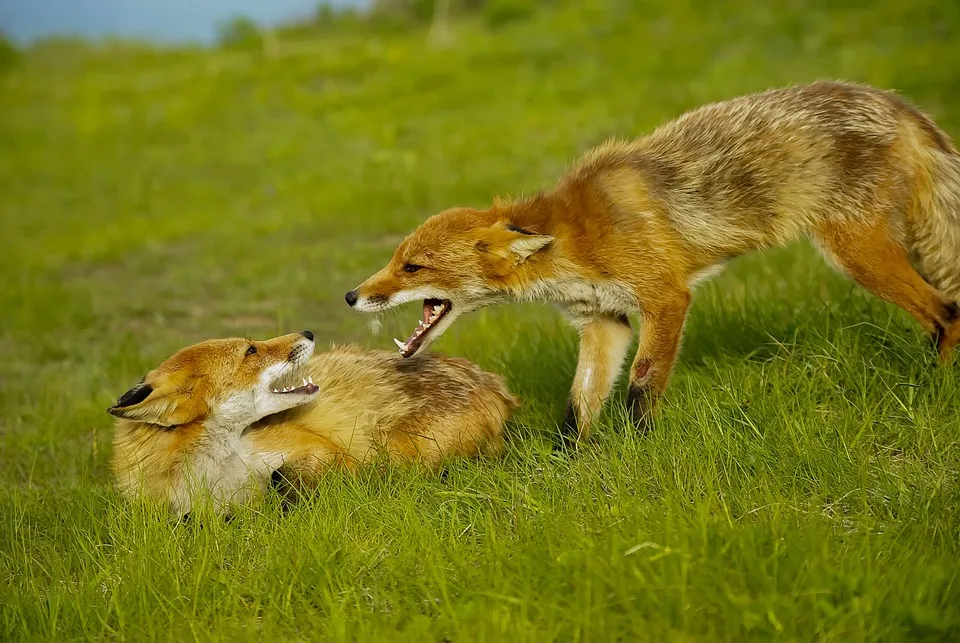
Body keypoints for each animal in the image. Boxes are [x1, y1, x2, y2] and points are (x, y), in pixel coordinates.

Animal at [109, 330, 516, 516]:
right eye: (251, 350)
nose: (308, 333)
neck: (219, 473)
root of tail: (495, 383)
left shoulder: (320, 448)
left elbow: (287, 478)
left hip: (409, 447)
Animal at [344, 80, 960, 448]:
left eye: (413, 267)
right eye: (395, 260)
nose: (352, 296)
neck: (576, 244)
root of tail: (889, 98)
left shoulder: (665, 297)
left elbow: (641, 386)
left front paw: (639, 449)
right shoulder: (604, 320)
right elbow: (578, 406)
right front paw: (569, 465)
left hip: (857, 253)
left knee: (946, 312)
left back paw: (937, 386)